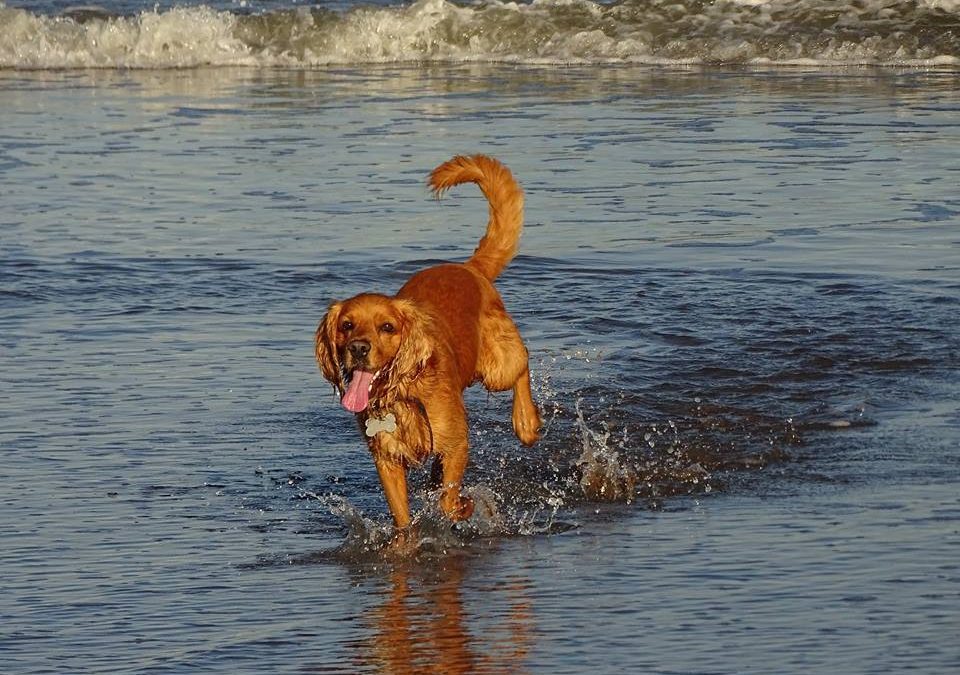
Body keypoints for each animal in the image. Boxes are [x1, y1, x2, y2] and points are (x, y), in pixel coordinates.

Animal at [316, 156, 540, 532]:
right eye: (347, 325)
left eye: (387, 327)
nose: (359, 348)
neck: (402, 392)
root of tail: (470, 268)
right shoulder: (387, 457)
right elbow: (403, 516)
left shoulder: (456, 440)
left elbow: (449, 499)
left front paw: (463, 506)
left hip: (498, 365)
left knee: (522, 362)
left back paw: (526, 423)